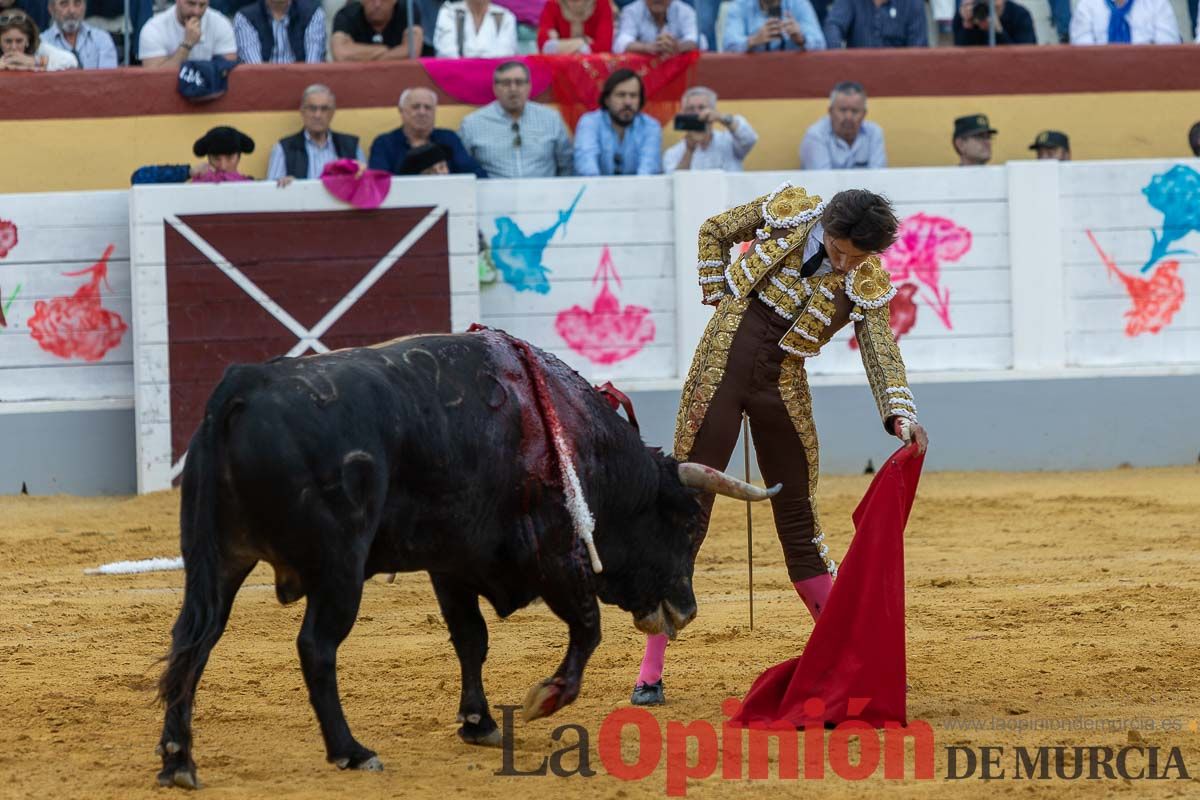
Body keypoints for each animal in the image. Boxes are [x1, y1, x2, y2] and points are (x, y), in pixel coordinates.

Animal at [154, 331, 772, 786]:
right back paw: (351, 750)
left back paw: (178, 759)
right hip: (339, 569)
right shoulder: (555, 555)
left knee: (193, 643)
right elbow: (587, 628)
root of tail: (242, 387)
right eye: (687, 524)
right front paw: (546, 698)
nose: (685, 610)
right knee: (315, 647)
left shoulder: (451, 563)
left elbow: (471, 639)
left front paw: (478, 722)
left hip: (217, 562)